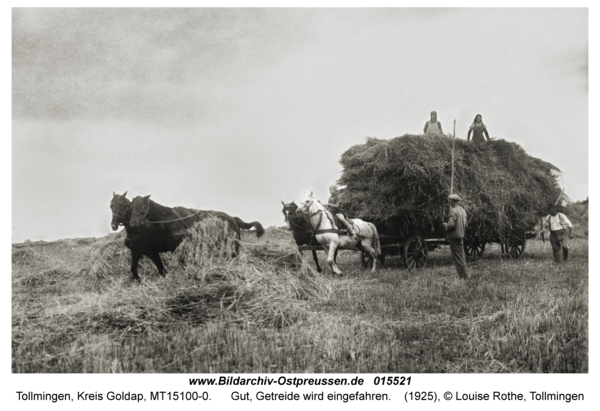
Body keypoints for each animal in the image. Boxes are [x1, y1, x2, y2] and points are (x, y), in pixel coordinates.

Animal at [110, 193, 264, 284]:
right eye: (111, 205)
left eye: (125, 206)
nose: (113, 225)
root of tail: (233, 219)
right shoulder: (138, 252)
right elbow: (135, 268)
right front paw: (138, 282)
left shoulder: (162, 250)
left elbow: (168, 267)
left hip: (232, 246)